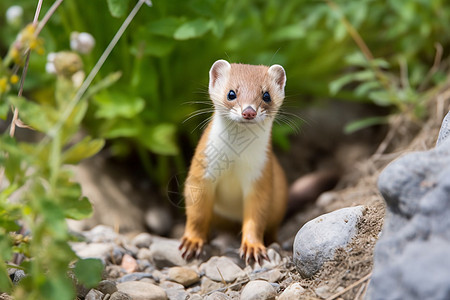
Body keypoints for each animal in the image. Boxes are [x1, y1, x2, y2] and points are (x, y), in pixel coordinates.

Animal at [179, 59, 288, 264]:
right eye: (231, 93)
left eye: (266, 95)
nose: (249, 111)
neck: (234, 160)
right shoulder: (201, 170)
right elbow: (197, 212)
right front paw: (192, 242)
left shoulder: (261, 176)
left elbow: (256, 216)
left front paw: (253, 247)